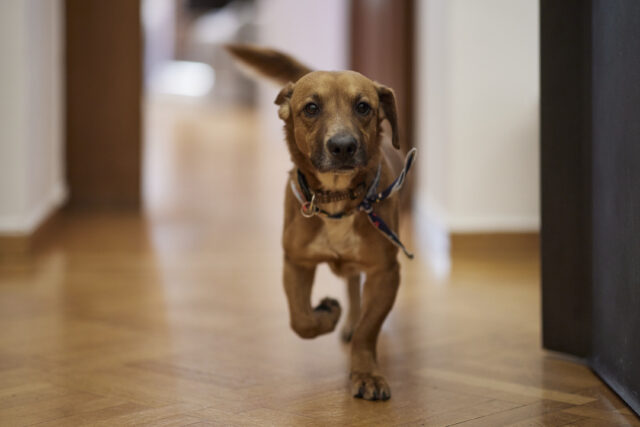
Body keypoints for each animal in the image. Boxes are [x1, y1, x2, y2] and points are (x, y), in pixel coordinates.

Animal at [225, 45, 416, 402]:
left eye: (363, 106)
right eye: (311, 108)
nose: (343, 146)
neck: (337, 200)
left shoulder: (385, 272)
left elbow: (369, 329)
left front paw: (366, 372)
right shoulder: (296, 262)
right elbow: (301, 320)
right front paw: (327, 315)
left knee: (355, 288)